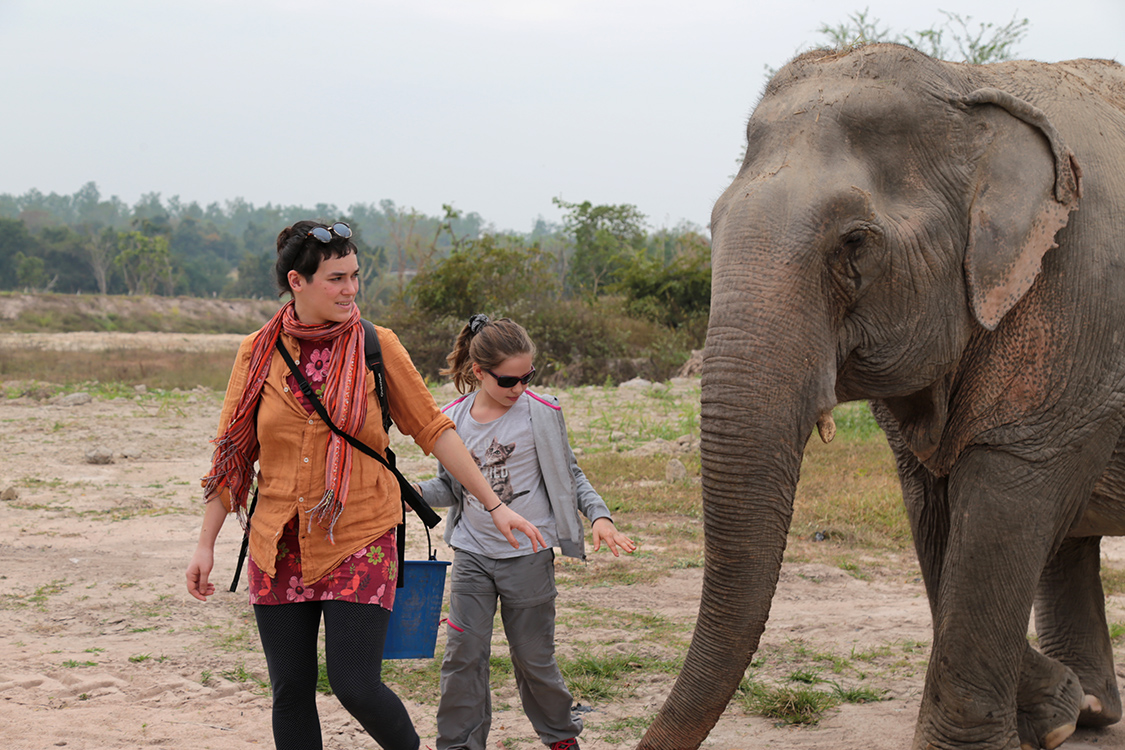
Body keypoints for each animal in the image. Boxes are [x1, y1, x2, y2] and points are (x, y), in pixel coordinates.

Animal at [639, 44, 1125, 746]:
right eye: (712, 222)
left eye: (854, 242)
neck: (965, 84)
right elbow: (935, 514)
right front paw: (1053, 710)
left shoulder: (1080, 300)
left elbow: (1004, 506)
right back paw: (1086, 712)